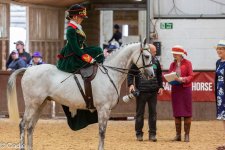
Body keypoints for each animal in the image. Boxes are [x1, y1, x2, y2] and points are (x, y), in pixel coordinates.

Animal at [7, 42, 155, 150]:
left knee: (30, 127)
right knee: (23, 125)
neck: (109, 74)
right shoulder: (103, 109)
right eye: (147, 56)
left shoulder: (107, 111)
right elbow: (102, 132)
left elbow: (103, 131)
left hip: (40, 104)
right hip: (32, 104)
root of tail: (28, 69)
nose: (152, 74)